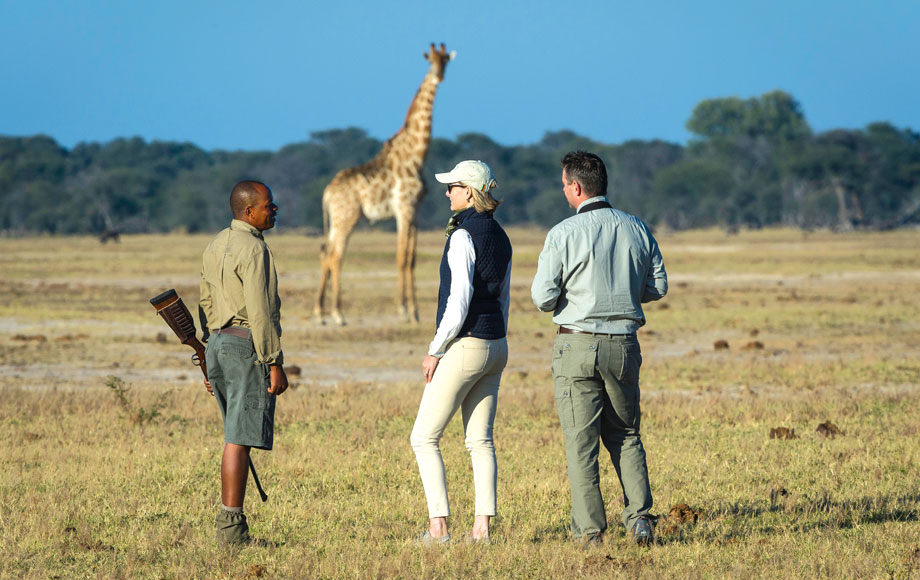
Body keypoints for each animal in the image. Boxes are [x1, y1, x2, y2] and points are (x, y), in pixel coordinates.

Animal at [314, 43, 454, 326]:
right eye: (431, 61)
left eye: (445, 60)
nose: (439, 75)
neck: (417, 154)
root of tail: (327, 192)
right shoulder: (403, 209)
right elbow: (401, 258)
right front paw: (404, 310)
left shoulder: (415, 211)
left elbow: (411, 259)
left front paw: (415, 311)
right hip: (347, 217)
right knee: (335, 256)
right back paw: (338, 314)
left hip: (337, 219)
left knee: (325, 252)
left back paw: (320, 313)